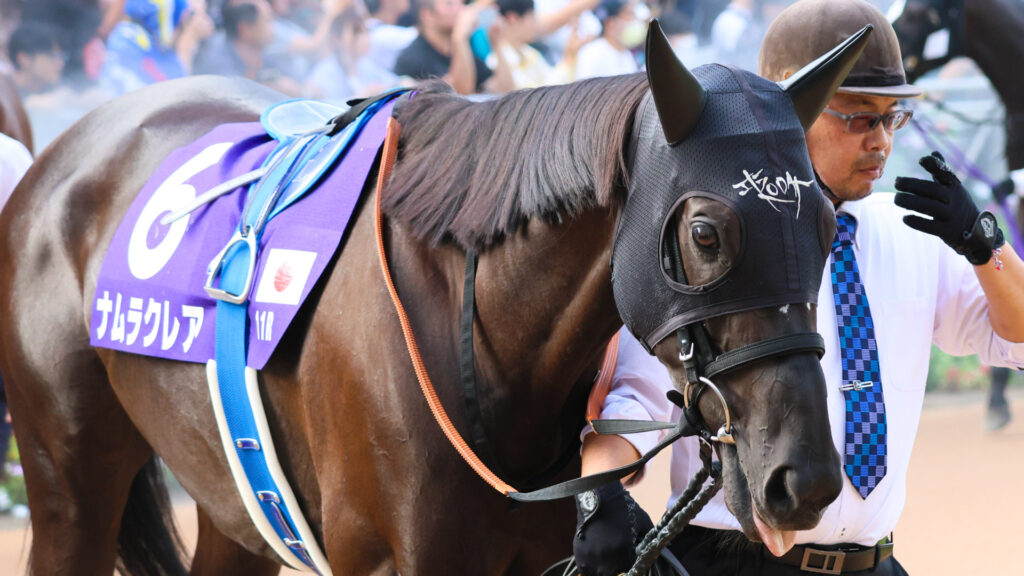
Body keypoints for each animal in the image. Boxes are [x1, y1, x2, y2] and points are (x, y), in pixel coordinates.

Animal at [0, 24, 865, 575]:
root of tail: (63, 151)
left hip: (231, 503)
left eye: (826, 224)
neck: (478, 339)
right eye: (708, 233)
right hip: (67, 482)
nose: (804, 477)